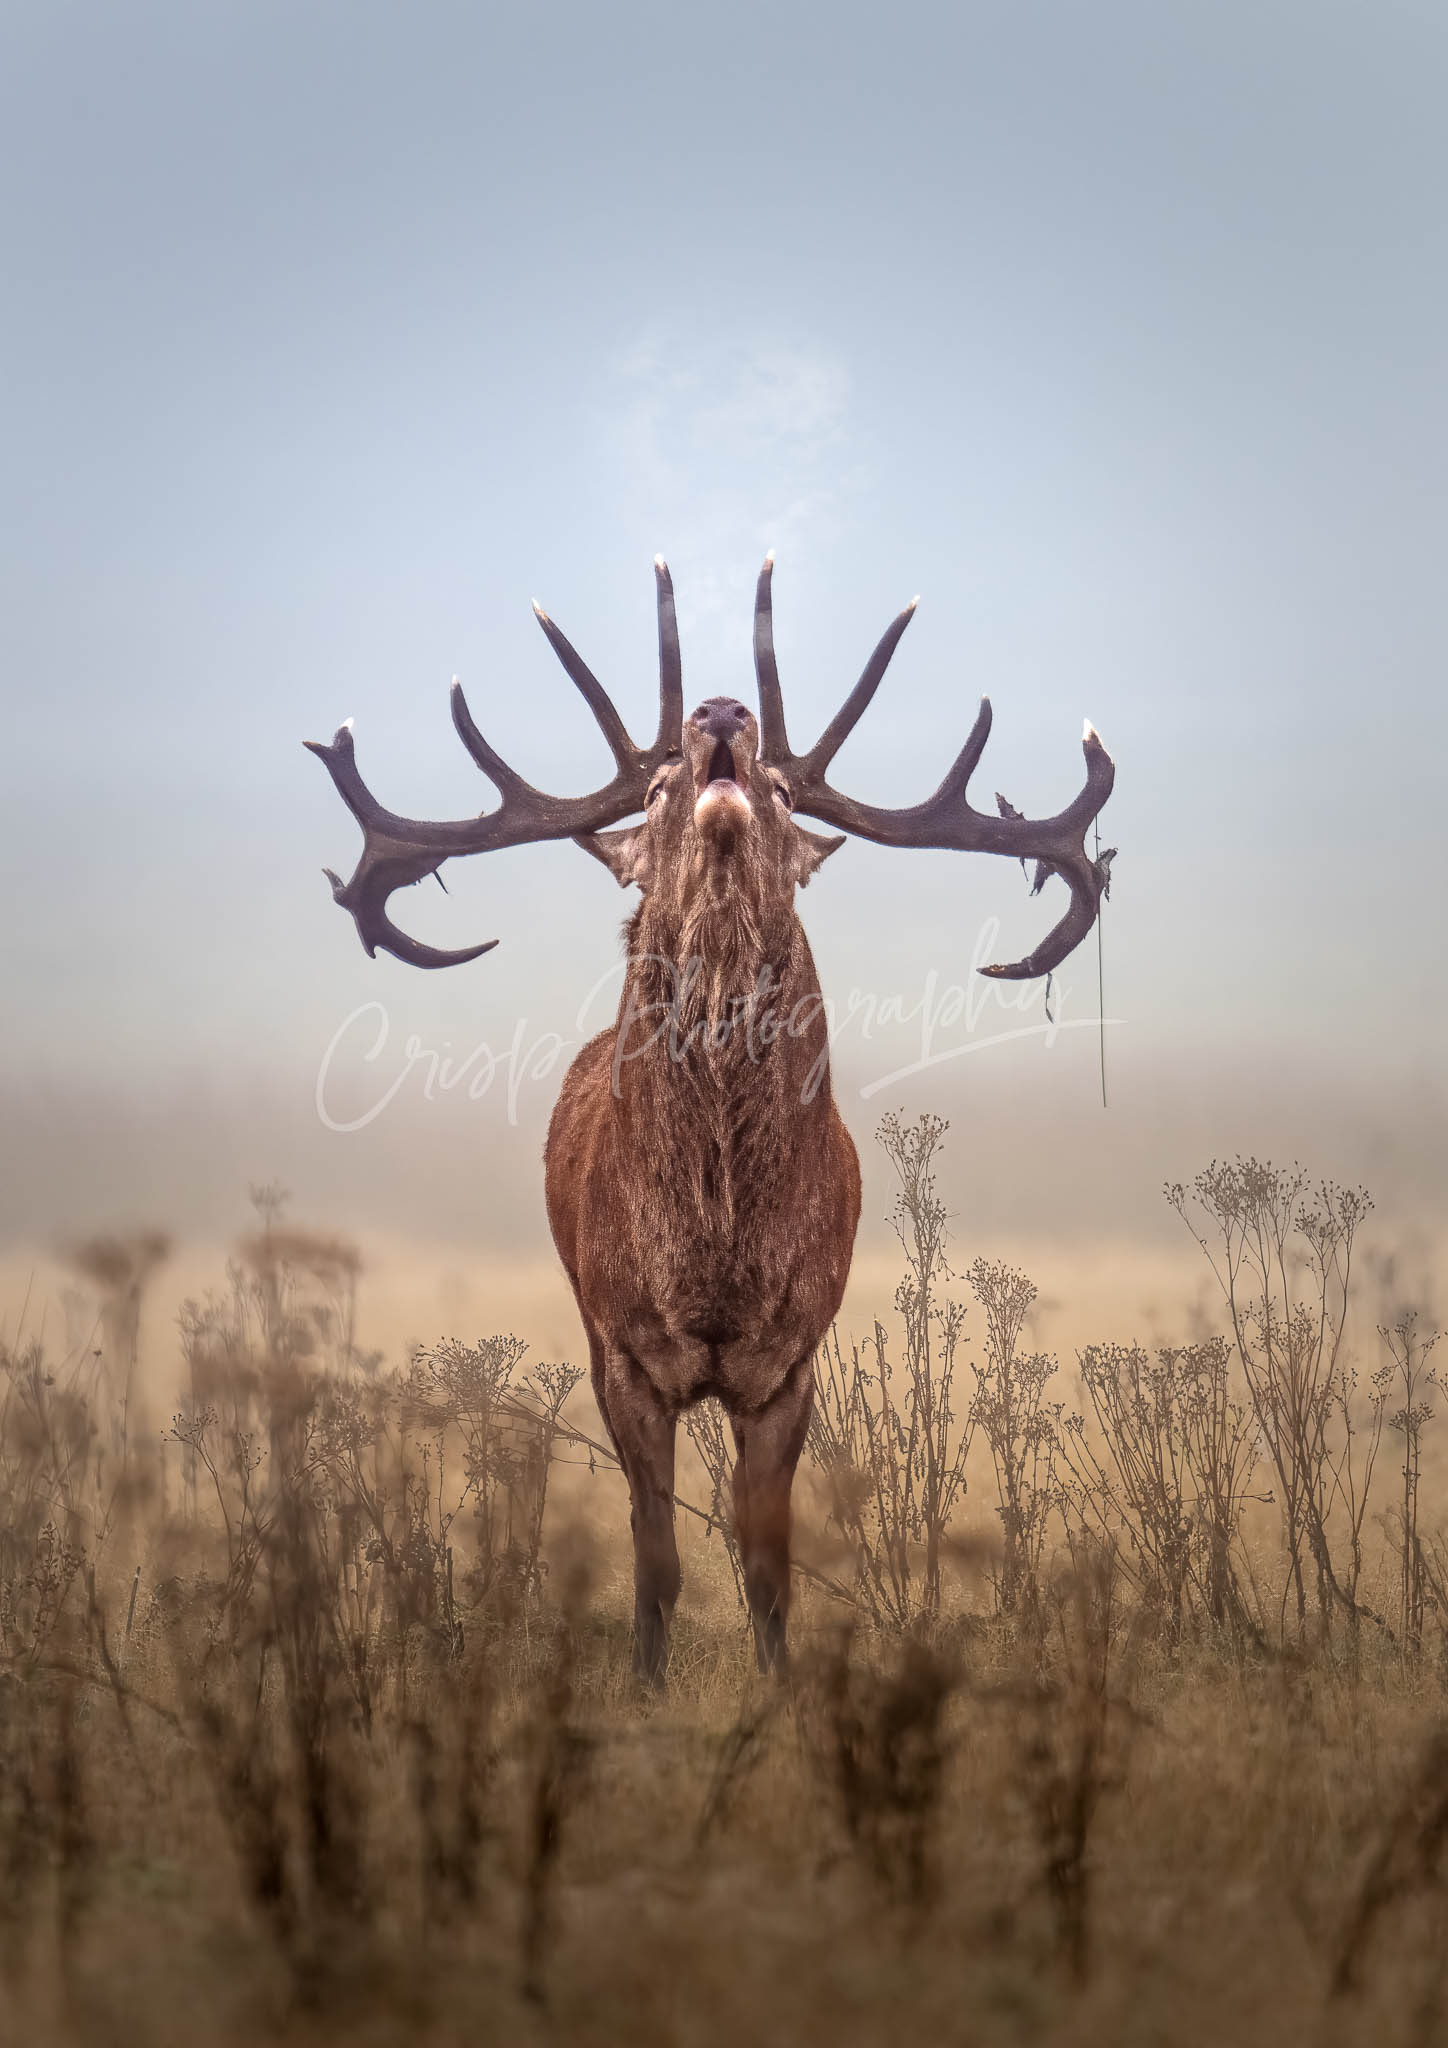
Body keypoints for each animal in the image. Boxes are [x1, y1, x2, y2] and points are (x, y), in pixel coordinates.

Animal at [305, 556, 1115, 1678]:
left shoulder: (789, 1360)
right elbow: (655, 1557)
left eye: (780, 789)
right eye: (654, 789)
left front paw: (778, 1683)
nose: (724, 710)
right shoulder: (624, 1352)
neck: (716, 1251)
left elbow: (766, 1560)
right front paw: (645, 1678)